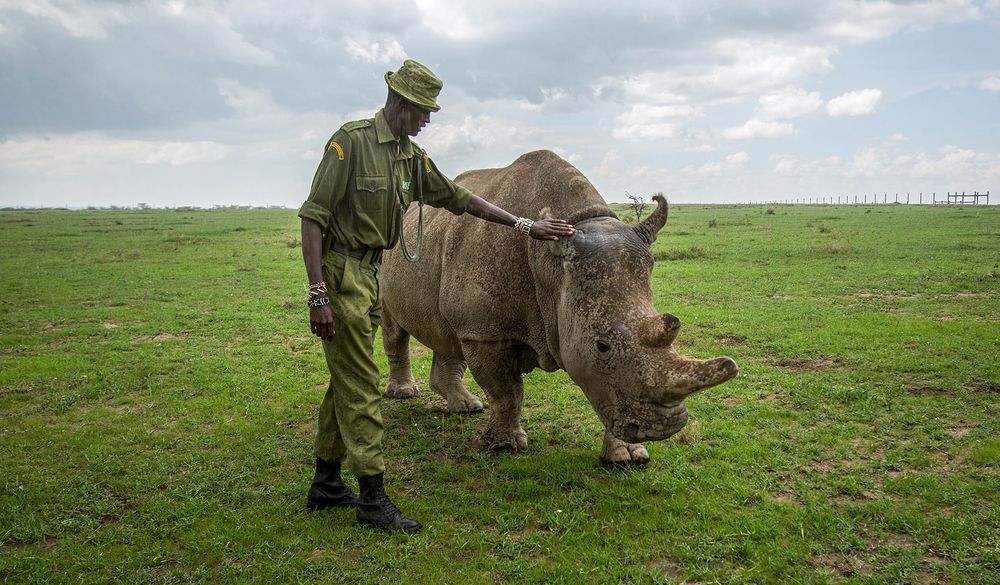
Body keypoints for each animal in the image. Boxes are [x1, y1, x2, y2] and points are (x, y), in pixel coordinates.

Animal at [378, 151, 740, 466]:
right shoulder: (487, 333)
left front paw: (626, 457)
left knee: (447, 332)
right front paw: (505, 447)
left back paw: (466, 407)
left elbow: (607, 391)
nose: (663, 428)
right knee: (394, 328)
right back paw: (405, 394)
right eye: (602, 346)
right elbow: (506, 392)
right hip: (389, 252)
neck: (551, 266)